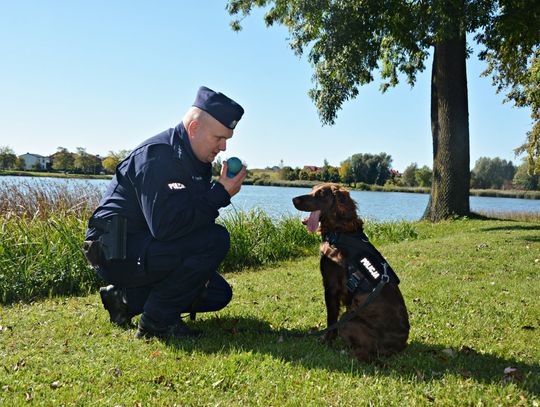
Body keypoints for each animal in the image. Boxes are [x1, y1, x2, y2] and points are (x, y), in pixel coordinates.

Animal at [294, 183, 408, 362]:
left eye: (321, 194)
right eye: (312, 189)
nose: (294, 199)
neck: (339, 232)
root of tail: (399, 346)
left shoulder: (331, 287)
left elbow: (331, 319)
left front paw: (326, 340)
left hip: (348, 320)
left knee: (364, 353)